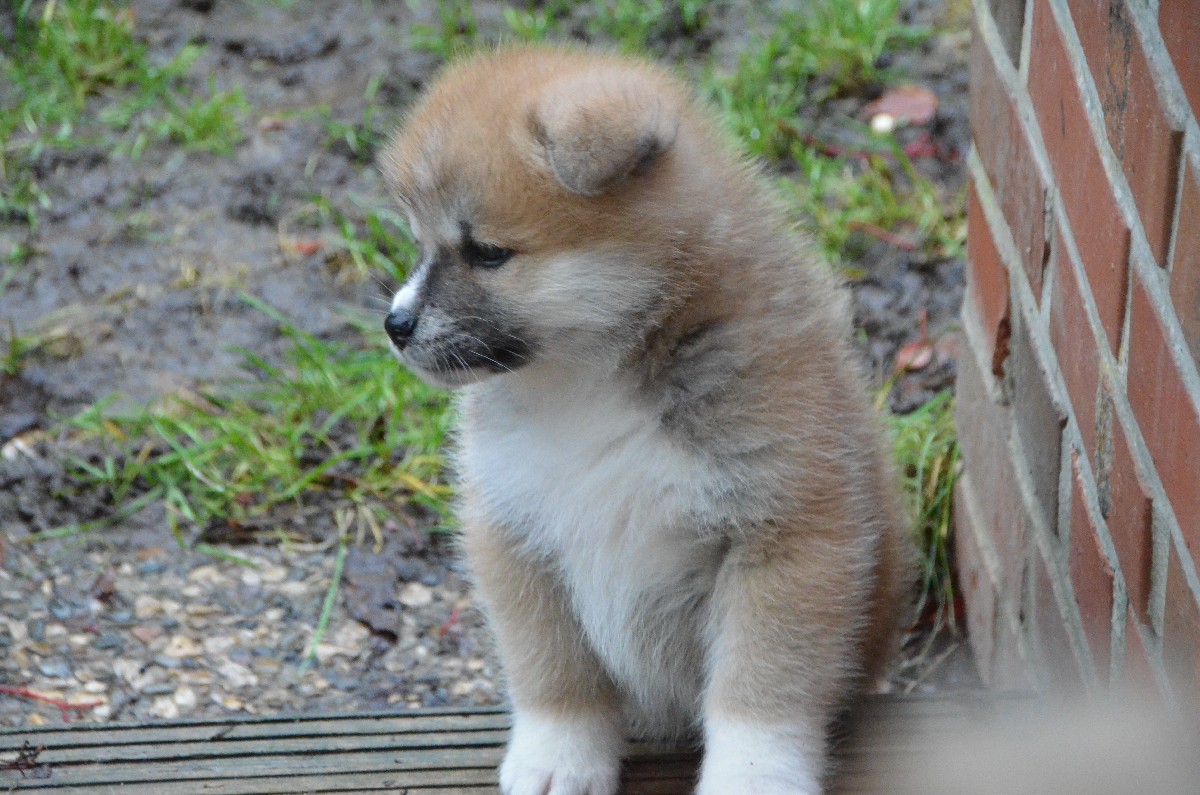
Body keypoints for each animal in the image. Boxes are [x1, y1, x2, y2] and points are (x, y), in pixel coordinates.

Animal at [380, 45, 910, 795]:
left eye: (486, 252)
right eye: (420, 242)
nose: (395, 326)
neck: (591, 380)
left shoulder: (790, 535)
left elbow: (759, 692)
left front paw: (751, 776)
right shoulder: (516, 530)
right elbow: (553, 672)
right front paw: (558, 755)